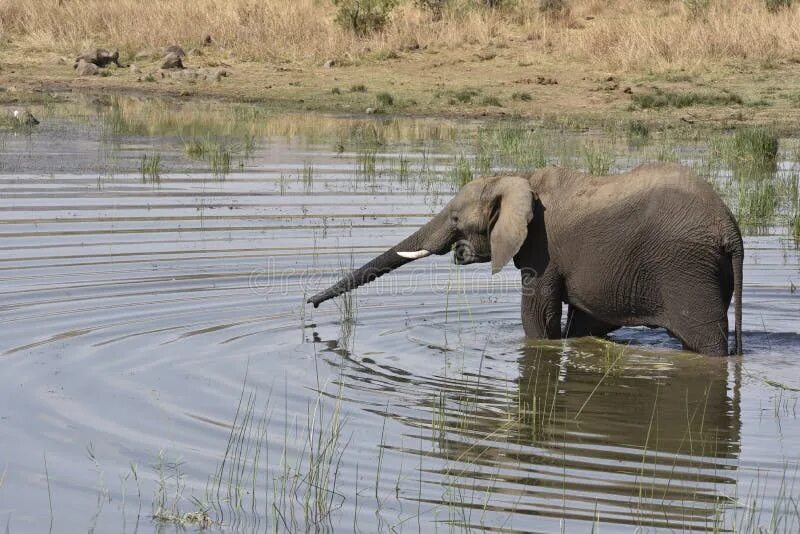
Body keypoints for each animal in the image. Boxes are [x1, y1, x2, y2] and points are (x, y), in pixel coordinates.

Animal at [310, 163, 748, 356]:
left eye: (456, 219)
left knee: (706, 341)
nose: (310, 304)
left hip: (686, 268)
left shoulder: (543, 250)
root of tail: (730, 228)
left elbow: (538, 315)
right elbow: (582, 323)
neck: (515, 178)